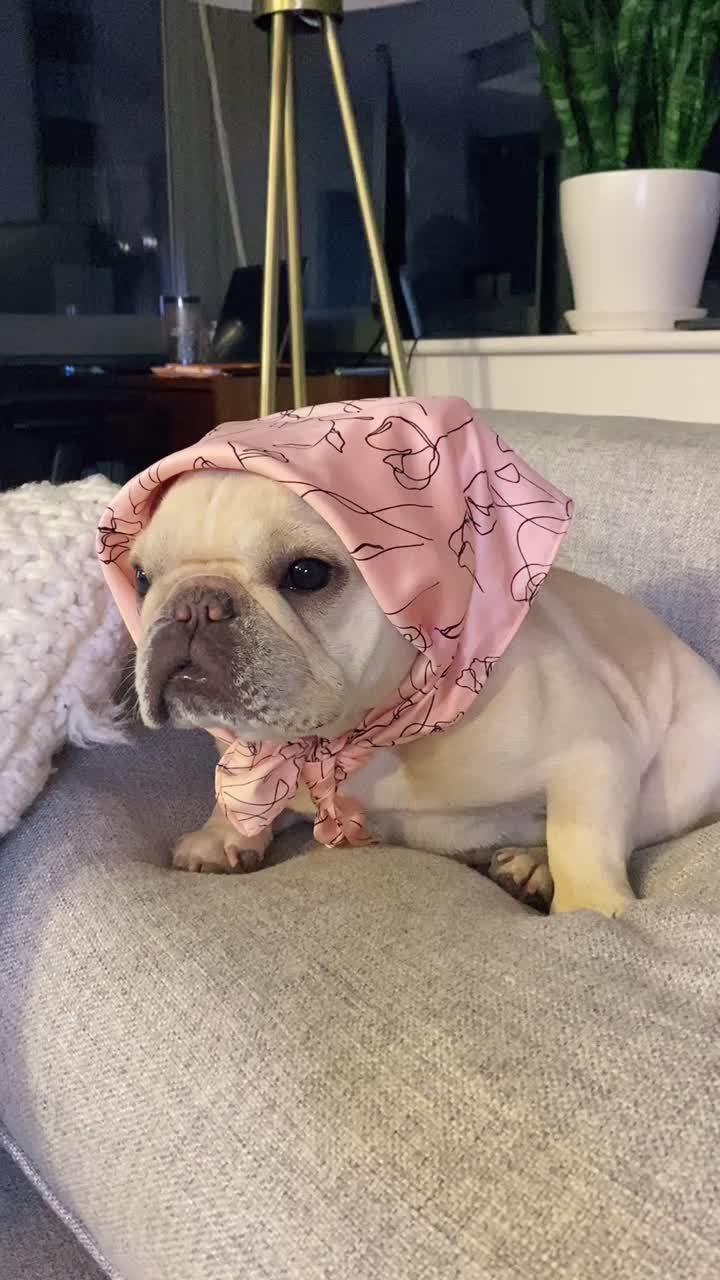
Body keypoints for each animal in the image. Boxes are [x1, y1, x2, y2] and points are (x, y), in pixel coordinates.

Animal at [127, 466, 720, 917]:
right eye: (140, 578)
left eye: (307, 573)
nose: (195, 604)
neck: (351, 735)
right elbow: (239, 794)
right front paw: (224, 835)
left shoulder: (592, 752)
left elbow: (582, 838)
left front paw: (591, 908)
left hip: (673, 784)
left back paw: (534, 864)